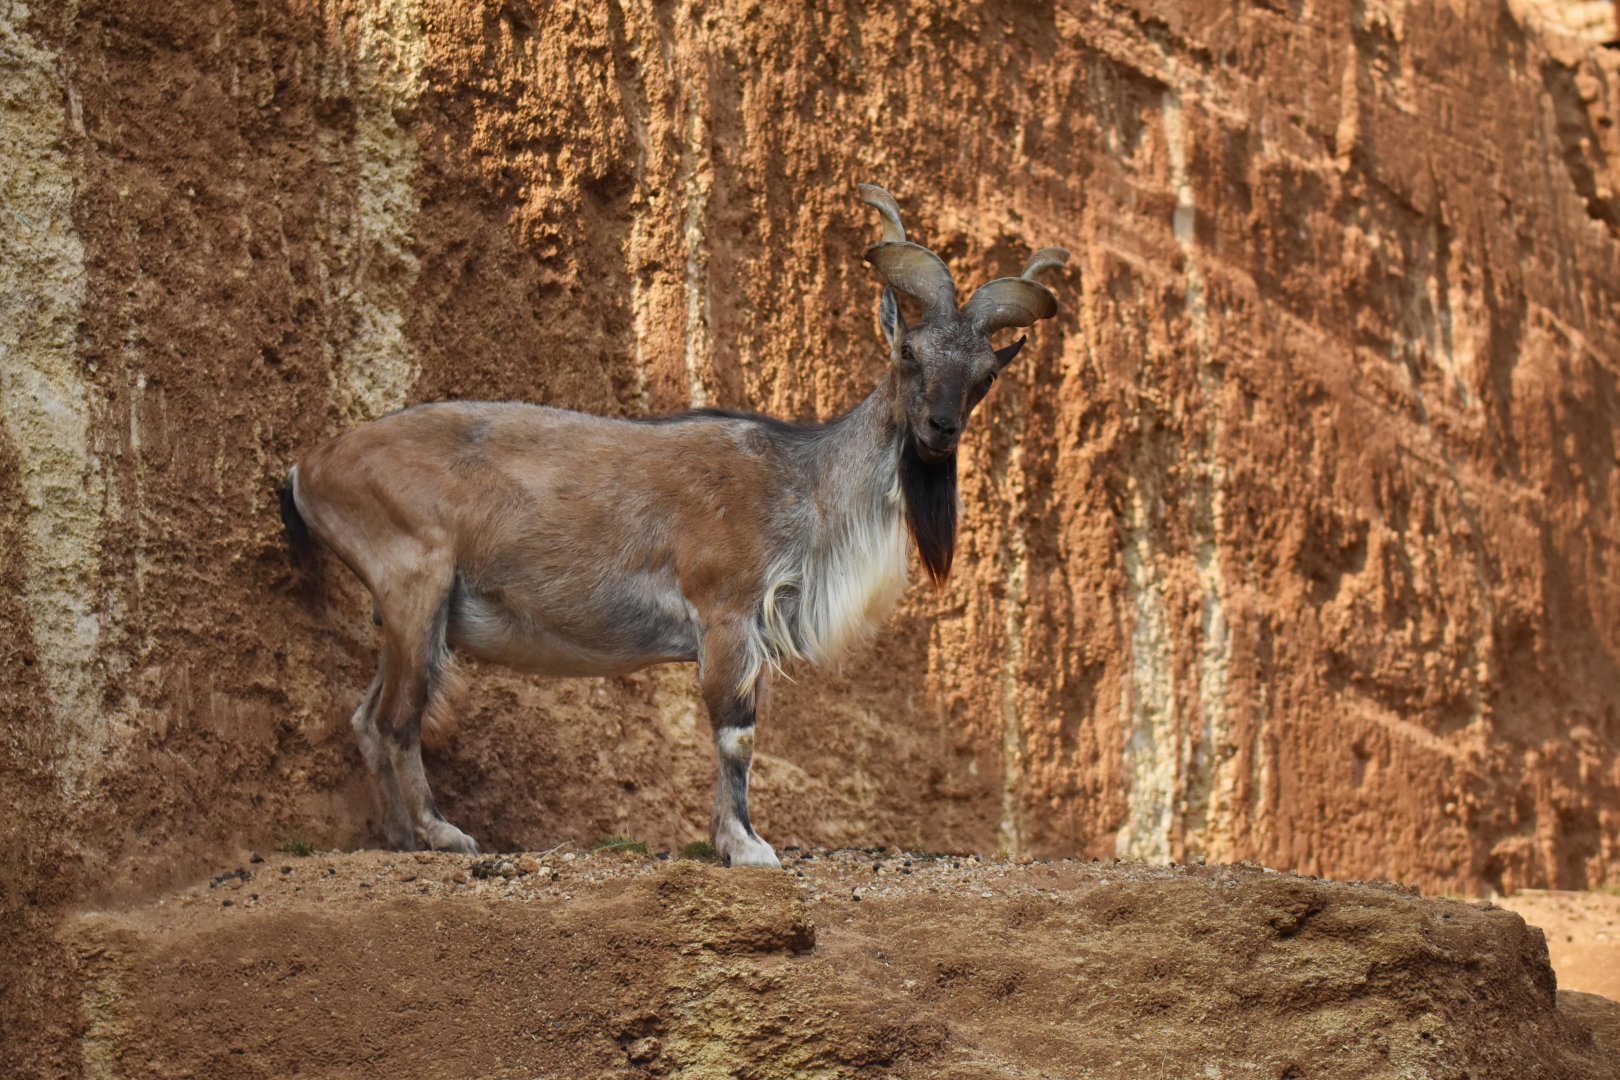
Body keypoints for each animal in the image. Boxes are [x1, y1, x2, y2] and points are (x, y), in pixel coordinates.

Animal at [280, 183, 1067, 866]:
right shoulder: (725, 611)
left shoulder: (750, 633)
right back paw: (440, 833)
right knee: (397, 718)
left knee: (370, 717)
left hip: (413, 613)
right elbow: (735, 734)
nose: (938, 430)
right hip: (413, 586)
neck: (804, 482)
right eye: (908, 354)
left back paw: (397, 837)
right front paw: (748, 847)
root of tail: (310, 467)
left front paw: (727, 840)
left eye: (986, 376)